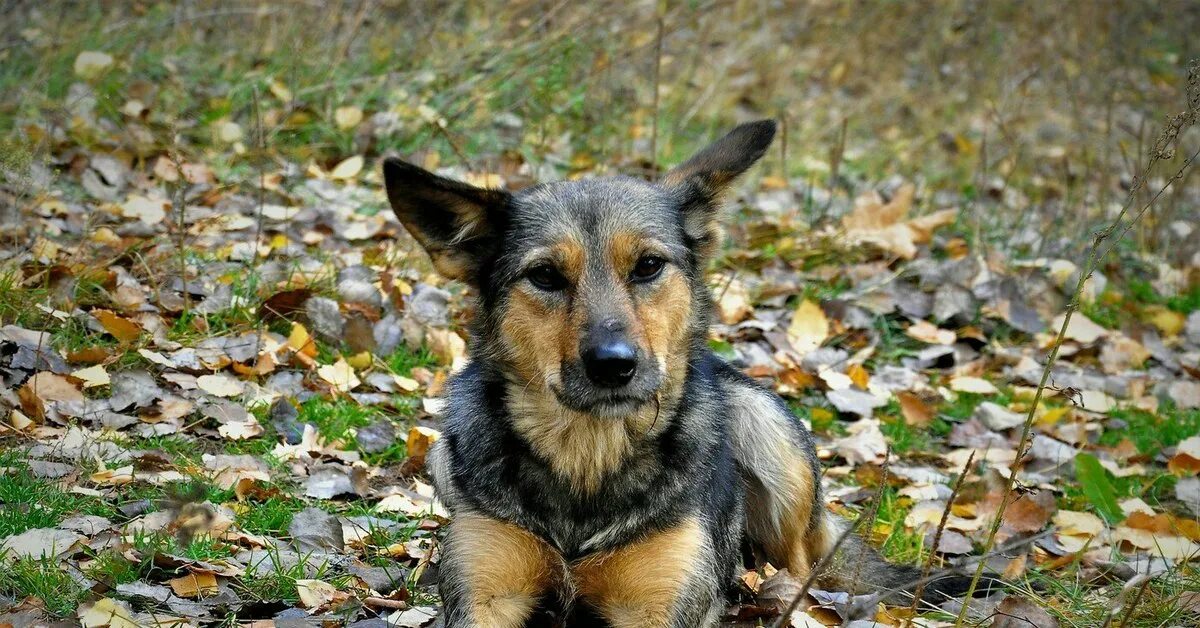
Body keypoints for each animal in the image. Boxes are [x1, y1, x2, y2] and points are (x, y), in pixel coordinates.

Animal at [384, 120, 1003, 624]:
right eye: (545, 277)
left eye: (648, 266)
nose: (614, 365)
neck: (588, 455)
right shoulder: (487, 587)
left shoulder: (660, 598)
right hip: (443, 459)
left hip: (767, 430)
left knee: (799, 568)